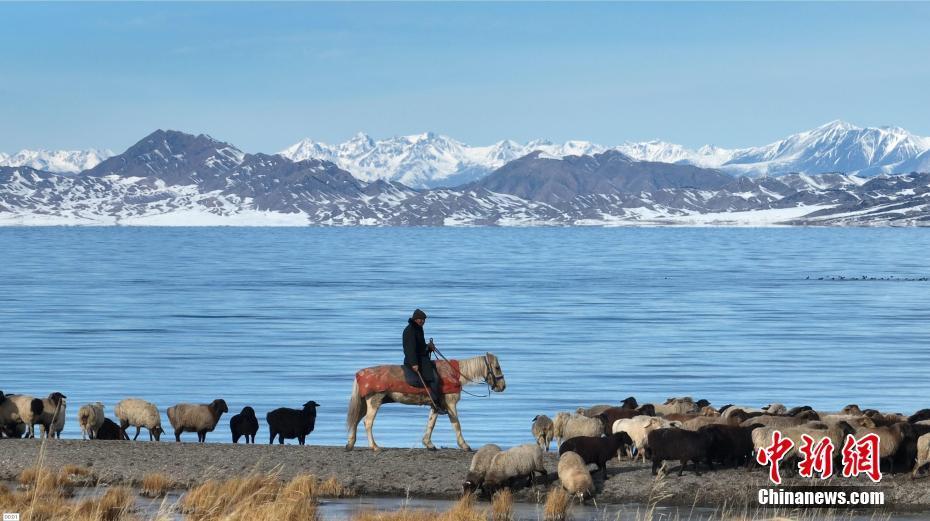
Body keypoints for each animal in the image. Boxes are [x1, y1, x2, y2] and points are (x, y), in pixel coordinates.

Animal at [344, 354, 504, 450]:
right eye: (497, 367)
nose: (503, 387)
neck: (454, 374)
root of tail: (360, 374)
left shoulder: (436, 405)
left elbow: (431, 423)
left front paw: (428, 443)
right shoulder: (450, 404)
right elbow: (456, 424)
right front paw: (464, 445)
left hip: (365, 404)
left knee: (356, 420)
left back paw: (350, 443)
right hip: (374, 401)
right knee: (367, 422)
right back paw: (374, 446)